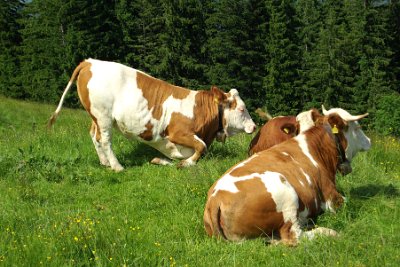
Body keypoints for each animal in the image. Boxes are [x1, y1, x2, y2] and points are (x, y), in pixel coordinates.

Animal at [47, 58, 256, 172]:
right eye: (241, 109)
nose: (254, 126)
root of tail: (90, 61)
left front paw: (162, 160)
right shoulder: (178, 133)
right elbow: (201, 147)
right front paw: (185, 163)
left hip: (96, 117)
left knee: (94, 135)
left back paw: (105, 162)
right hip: (103, 115)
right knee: (104, 139)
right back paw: (117, 166)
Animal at [205, 109, 370, 247]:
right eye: (357, 128)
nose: (369, 141)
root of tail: (215, 199)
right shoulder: (332, 198)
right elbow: (351, 201)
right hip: (285, 192)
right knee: (293, 236)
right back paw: (327, 231)